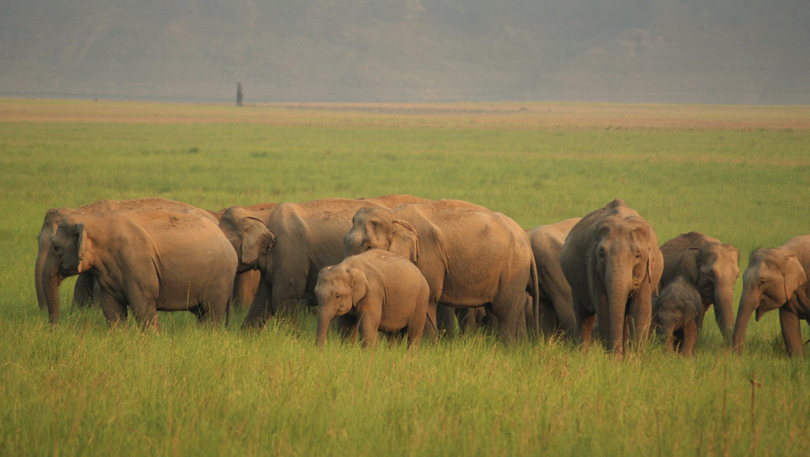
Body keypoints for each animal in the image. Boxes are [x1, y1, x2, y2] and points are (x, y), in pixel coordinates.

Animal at [41, 208, 237, 326]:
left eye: (56, 247)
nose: (54, 328)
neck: (96, 221)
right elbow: (112, 308)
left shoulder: (136, 264)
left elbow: (142, 303)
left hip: (221, 277)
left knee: (211, 313)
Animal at [218, 192, 426, 328]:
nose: (226, 328)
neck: (262, 214)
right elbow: (263, 301)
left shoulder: (289, 252)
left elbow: (284, 297)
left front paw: (290, 339)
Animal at [340, 198, 536, 344]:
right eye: (343, 240)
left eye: (369, 247)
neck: (393, 214)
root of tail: (524, 236)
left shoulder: (427, 256)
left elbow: (428, 298)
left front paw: (429, 348)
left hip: (513, 268)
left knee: (505, 311)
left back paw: (507, 348)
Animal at [560, 198, 660, 354]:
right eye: (601, 254)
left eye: (638, 255)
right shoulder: (593, 266)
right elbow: (603, 307)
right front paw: (614, 358)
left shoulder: (646, 272)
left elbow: (641, 309)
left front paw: (636, 357)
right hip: (575, 285)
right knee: (583, 315)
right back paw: (583, 354)